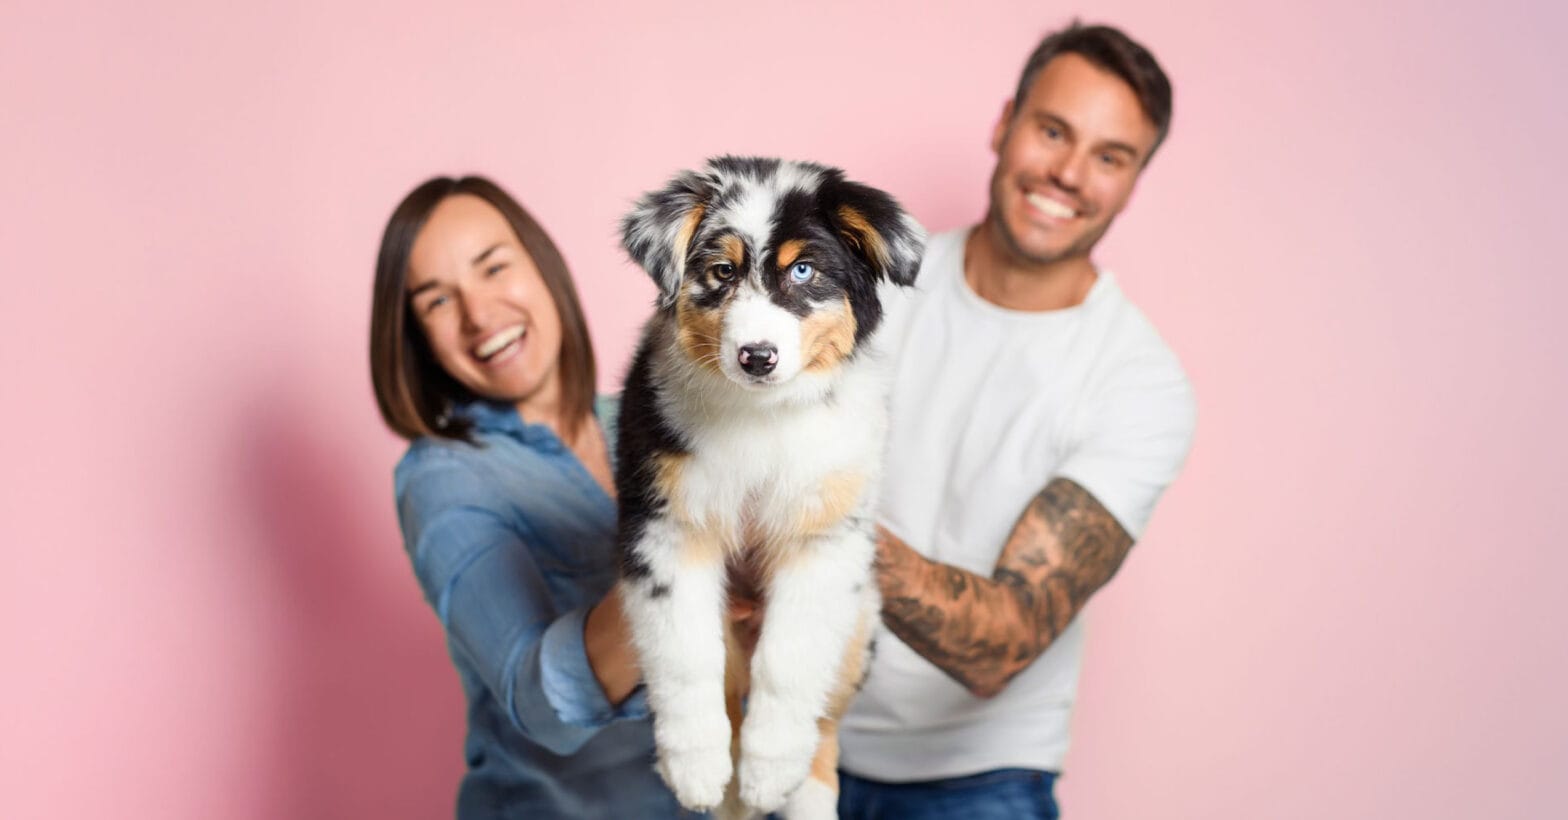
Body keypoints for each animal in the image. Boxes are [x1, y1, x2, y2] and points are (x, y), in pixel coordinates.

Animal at [617, 157, 921, 815]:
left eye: (803, 270)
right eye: (722, 272)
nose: (757, 356)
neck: (761, 414)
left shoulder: (826, 539)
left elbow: (791, 660)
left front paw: (771, 769)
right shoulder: (664, 526)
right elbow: (685, 655)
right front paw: (694, 767)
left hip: (861, 625)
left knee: (825, 727)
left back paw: (798, 793)